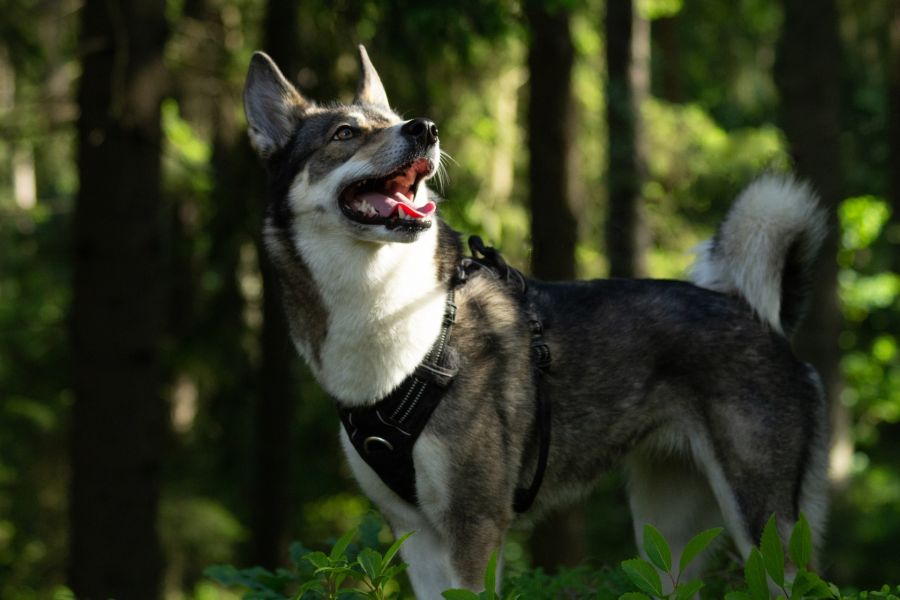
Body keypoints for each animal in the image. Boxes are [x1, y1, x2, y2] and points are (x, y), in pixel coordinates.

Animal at [241, 45, 828, 596]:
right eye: (344, 133)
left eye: (396, 119)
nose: (426, 129)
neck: (398, 316)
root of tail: (761, 319)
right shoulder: (414, 534)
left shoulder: (474, 524)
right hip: (668, 537)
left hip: (764, 530)